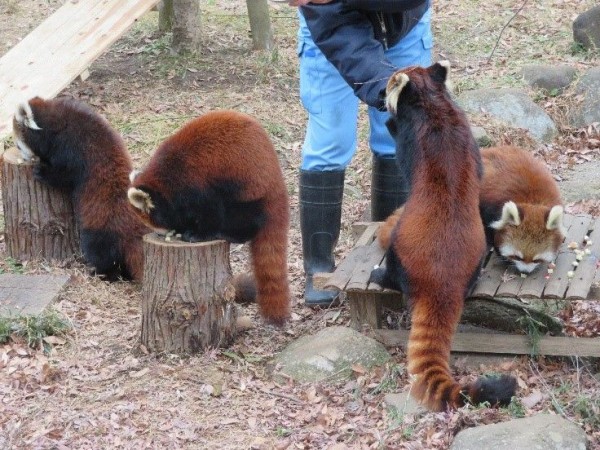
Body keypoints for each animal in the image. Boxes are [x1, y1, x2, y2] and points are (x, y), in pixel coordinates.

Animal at [12, 96, 150, 282]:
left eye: (19, 146)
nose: (25, 158)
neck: (56, 123)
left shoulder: (72, 149)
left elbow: (65, 176)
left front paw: (42, 172)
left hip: (100, 231)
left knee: (101, 255)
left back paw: (101, 273)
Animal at [128, 110, 290, 326]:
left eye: (159, 225)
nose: (164, 235)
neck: (167, 177)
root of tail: (277, 180)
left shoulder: (198, 183)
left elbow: (209, 212)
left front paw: (196, 234)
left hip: (245, 188)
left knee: (245, 219)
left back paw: (228, 233)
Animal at [370, 62, 516, 412]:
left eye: (389, 84)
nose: (379, 93)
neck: (433, 104)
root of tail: (441, 281)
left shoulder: (411, 139)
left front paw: (389, 120)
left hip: (402, 246)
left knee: (394, 271)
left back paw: (380, 274)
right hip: (475, 256)